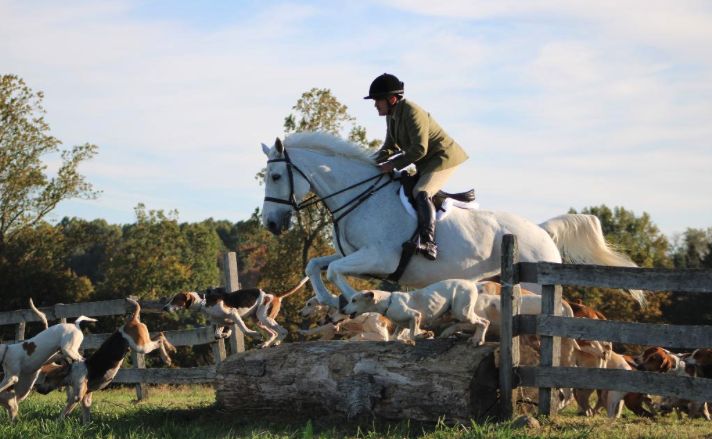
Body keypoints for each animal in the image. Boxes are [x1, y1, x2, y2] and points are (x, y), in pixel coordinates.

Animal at [260, 132, 644, 310]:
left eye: (276, 177)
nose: (271, 225)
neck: (360, 195)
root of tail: (540, 230)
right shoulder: (355, 255)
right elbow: (315, 265)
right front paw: (330, 301)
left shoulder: (379, 258)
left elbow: (337, 272)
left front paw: (359, 302)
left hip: (536, 282)